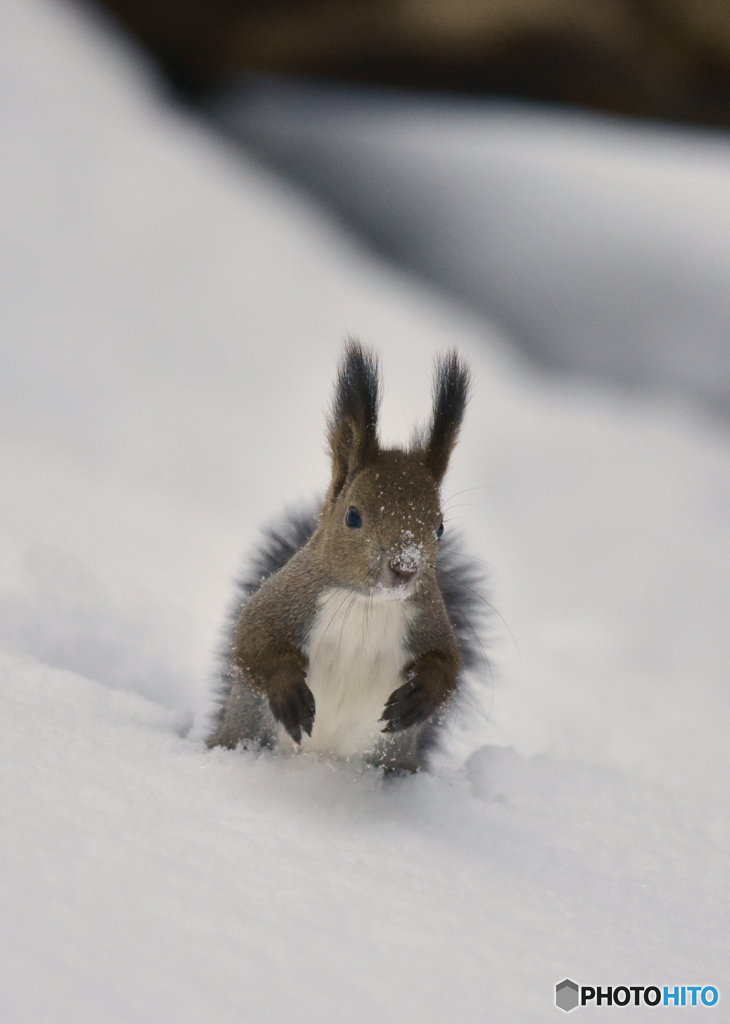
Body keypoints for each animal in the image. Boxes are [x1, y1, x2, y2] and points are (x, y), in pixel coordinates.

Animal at [206, 339, 483, 770]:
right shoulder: (280, 600)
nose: (405, 567)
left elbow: (449, 666)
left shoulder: (431, 621)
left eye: (440, 527)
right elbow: (251, 644)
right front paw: (289, 694)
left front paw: (421, 695)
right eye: (353, 516)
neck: (367, 605)